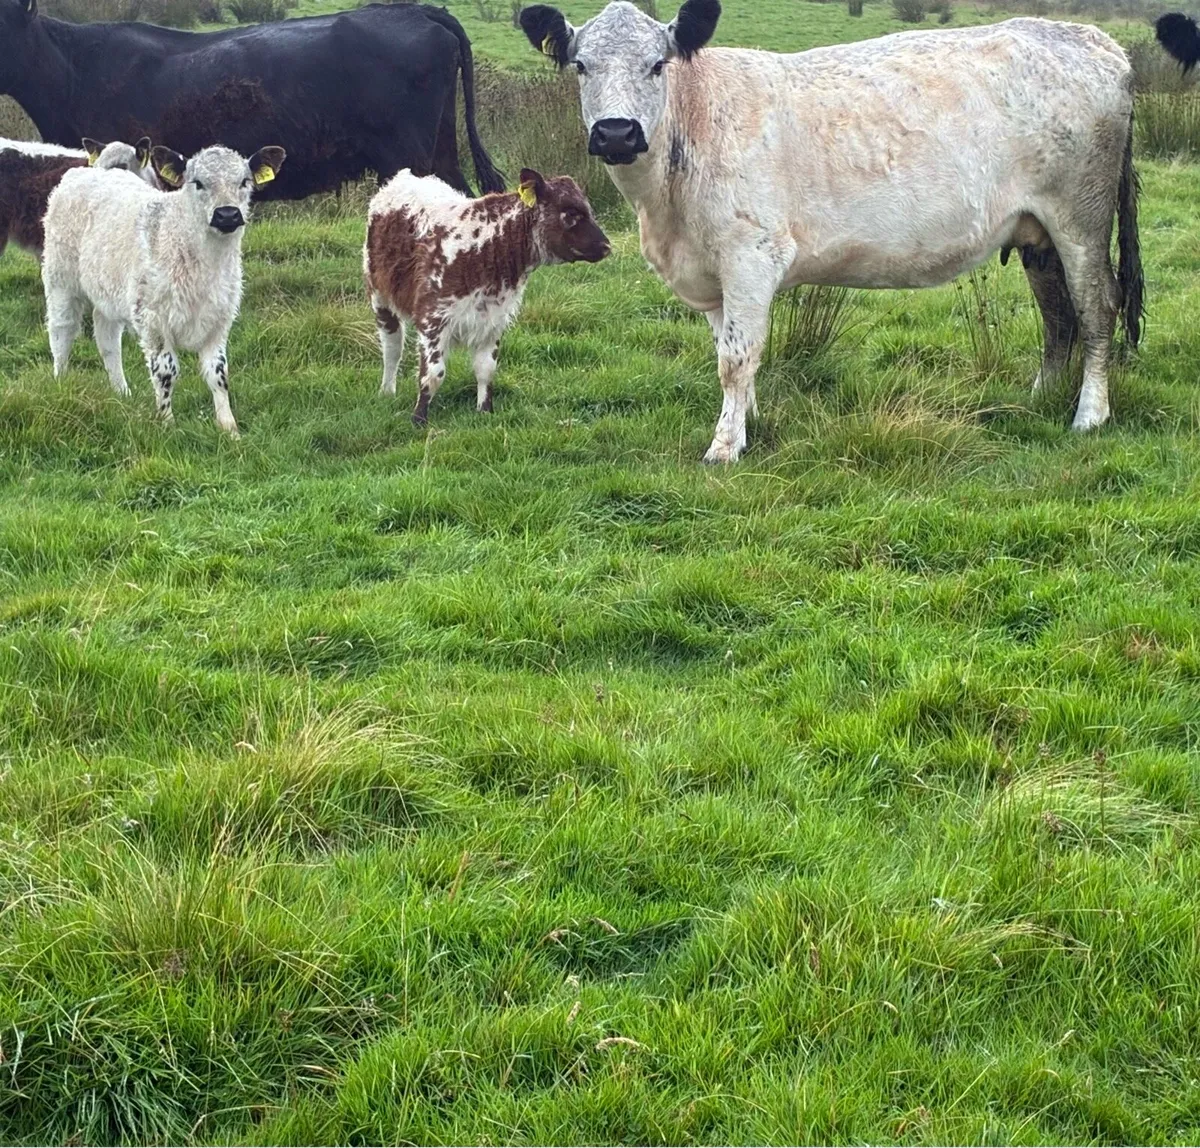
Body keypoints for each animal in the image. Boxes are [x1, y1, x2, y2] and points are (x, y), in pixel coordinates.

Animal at [42, 143, 285, 436]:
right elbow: (166, 370)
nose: (227, 214)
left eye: (244, 182)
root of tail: (91, 172)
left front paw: (229, 428)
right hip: (60, 279)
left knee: (108, 340)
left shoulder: (220, 319)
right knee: (62, 332)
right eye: (197, 183)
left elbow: (218, 372)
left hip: (107, 292)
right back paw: (61, 381)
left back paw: (121, 391)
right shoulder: (153, 319)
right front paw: (167, 423)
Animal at [364, 167, 610, 426]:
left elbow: (486, 369)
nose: (606, 246)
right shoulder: (432, 317)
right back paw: (387, 391)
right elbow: (432, 374)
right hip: (379, 296)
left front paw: (484, 411)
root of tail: (404, 177)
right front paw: (419, 419)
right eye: (570, 213)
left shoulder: (494, 321)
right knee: (392, 347)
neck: (486, 249)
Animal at [519, 2, 1143, 462]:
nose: (616, 133)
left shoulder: (750, 255)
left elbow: (736, 359)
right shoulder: (711, 272)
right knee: (1057, 314)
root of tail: (1092, 39)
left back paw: (1089, 414)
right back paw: (1043, 396)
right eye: (581, 66)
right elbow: (733, 353)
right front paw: (747, 425)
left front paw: (724, 447)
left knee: (1096, 307)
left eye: (656, 64)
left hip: (1081, 218)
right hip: (1038, 231)